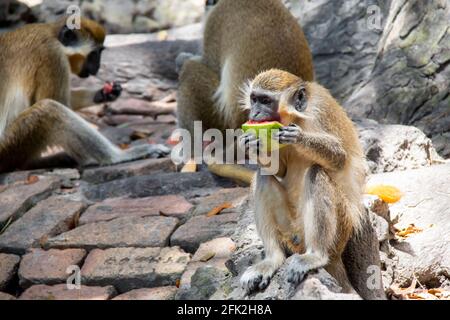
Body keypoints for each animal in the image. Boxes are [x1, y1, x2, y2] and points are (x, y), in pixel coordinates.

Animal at [0, 17, 169, 172]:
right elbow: (59, 103)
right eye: (95, 54)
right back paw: (120, 156)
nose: (97, 68)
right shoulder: (53, 54)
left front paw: (103, 94)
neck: (52, 33)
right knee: (49, 109)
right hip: (8, 146)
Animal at [237, 69, 368, 296]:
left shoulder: (320, 109)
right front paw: (251, 144)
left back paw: (316, 255)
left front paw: (299, 138)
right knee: (262, 176)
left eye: (265, 101)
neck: (297, 116)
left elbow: (340, 158)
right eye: (254, 99)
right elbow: (277, 169)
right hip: (291, 232)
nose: (254, 114)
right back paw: (272, 259)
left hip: (339, 231)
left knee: (317, 172)